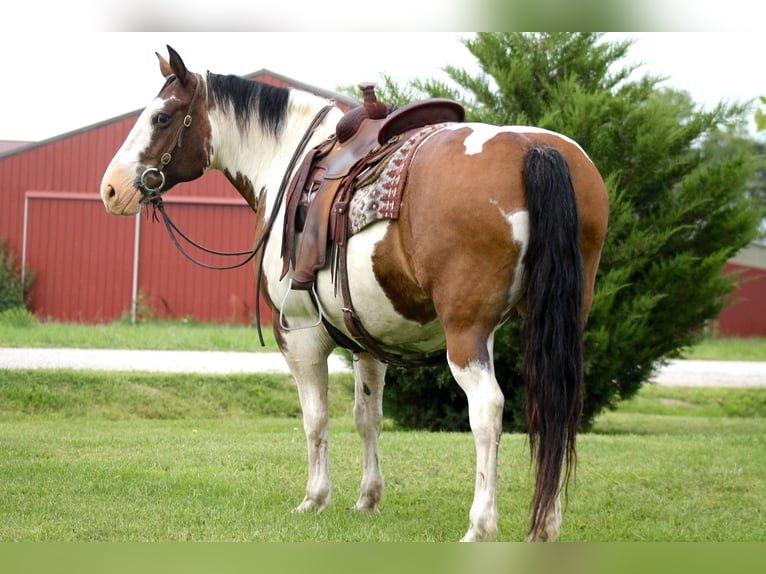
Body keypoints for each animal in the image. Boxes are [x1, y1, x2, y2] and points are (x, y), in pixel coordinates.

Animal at [100, 46, 612, 544]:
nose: (111, 189)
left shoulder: (299, 336)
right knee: (556, 405)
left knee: (487, 410)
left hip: (468, 331)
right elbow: (369, 416)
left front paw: (314, 498)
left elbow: (316, 419)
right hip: (556, 321)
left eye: (162, 118)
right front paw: (368, 499)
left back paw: (480, 525)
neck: (288, 163)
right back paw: (546, 524)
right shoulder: (370, 340)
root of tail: (534, 148)